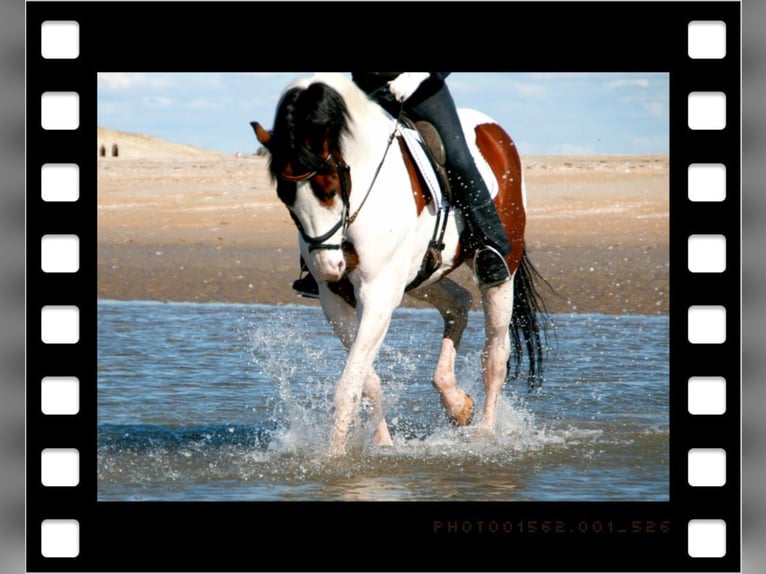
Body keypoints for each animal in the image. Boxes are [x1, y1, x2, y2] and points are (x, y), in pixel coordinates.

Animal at [251, 73, 548, 456]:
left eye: (329, 188)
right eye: (285, 197)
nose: (328, 266)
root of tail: (496, 133)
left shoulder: (377, 294)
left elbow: (349, 385)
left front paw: (333, 458)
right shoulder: (337, 298)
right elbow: (367, 381)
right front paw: (383, 446)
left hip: (498, 274)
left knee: (495, 355)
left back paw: (485, 434)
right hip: (421, 277)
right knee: (459, 303)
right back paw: (456, 403)